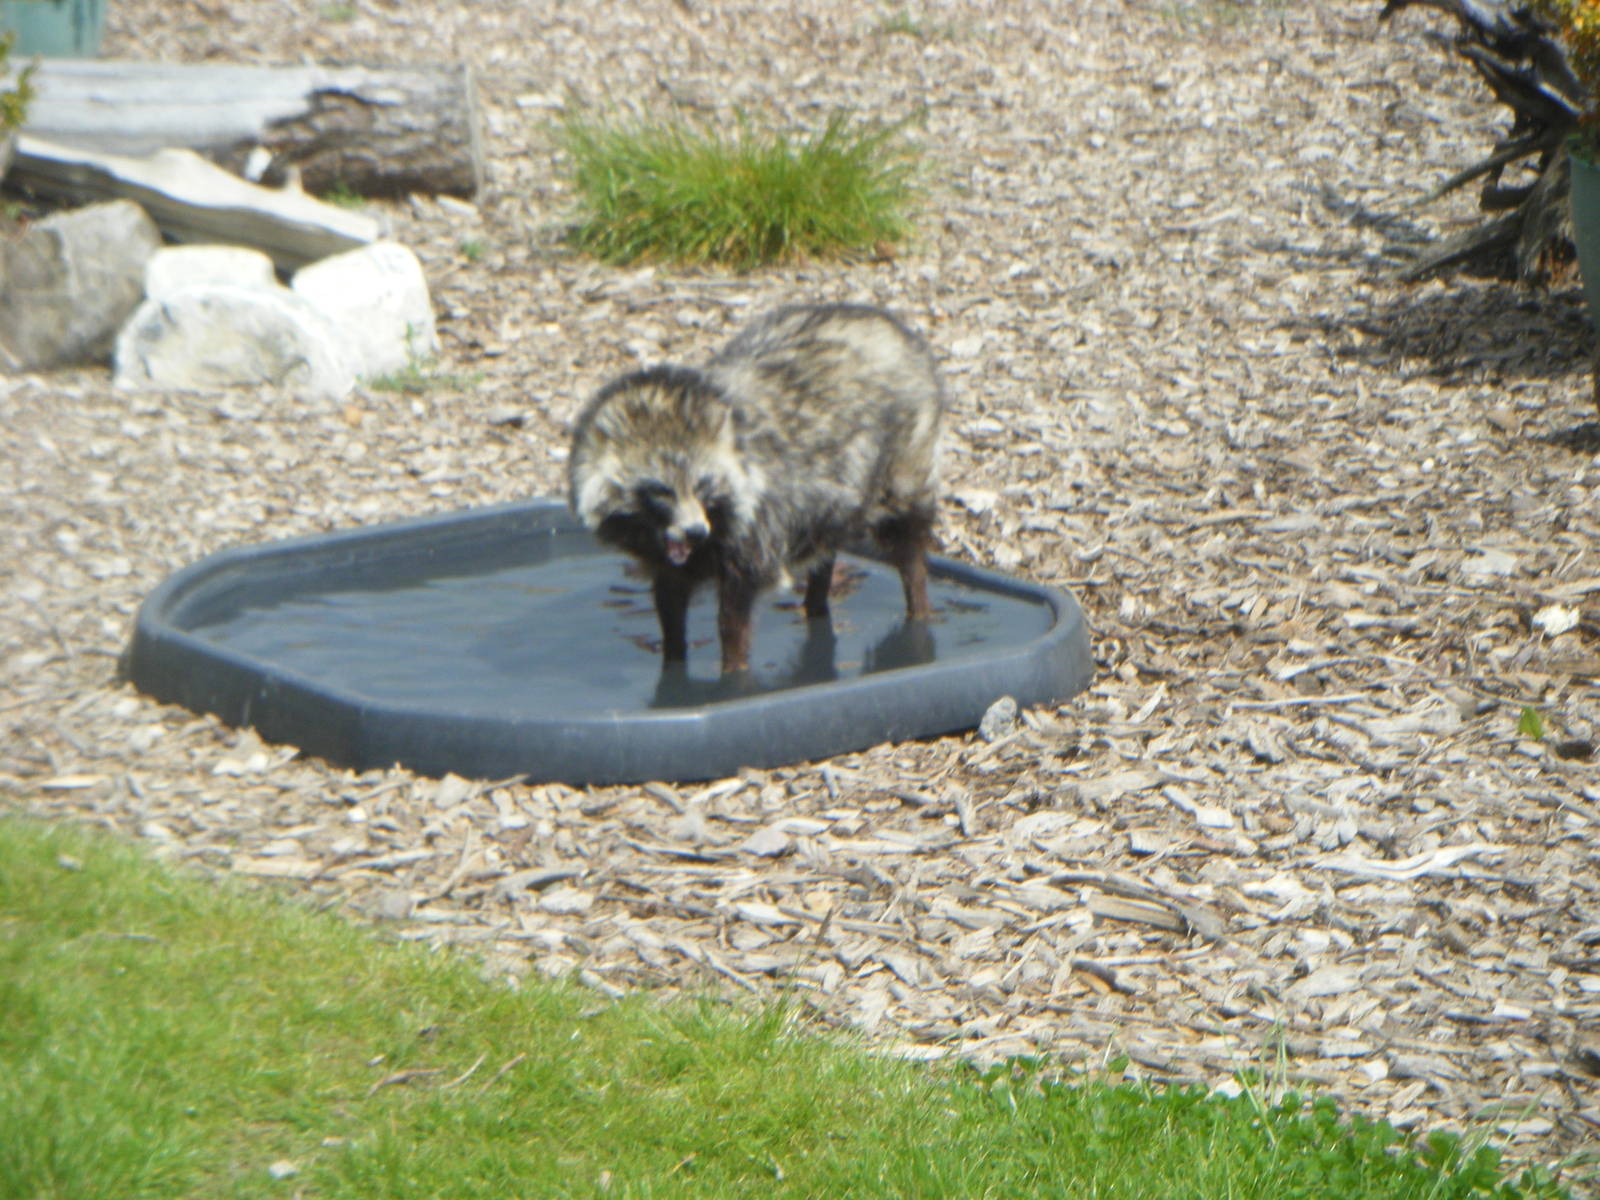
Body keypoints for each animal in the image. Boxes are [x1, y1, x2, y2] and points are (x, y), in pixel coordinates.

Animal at [568, 303, 945, 675]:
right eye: (661, 491)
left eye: (703, 485)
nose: (696, 532)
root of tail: (883, 319)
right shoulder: (665, 559)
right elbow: (670, 604)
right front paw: (673, 664)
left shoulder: (754, 530)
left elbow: (734, 618)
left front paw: (733, 674)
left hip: (902, 459)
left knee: (906, 536)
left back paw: (918, 605)